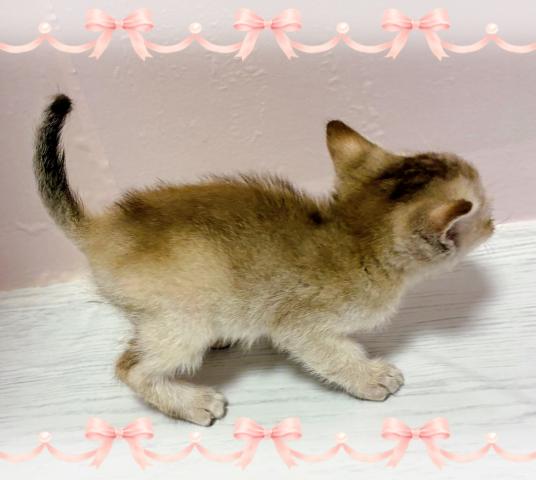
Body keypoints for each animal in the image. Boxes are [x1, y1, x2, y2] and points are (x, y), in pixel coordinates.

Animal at [33, 94, 494, 426]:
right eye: (484, 210)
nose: (493, 223)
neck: (353, 235)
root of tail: (103, 228)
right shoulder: (299, 324)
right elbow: (334, 355)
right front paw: (370, 377)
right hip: (185, 321)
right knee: (131, 367)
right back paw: (193, 402)